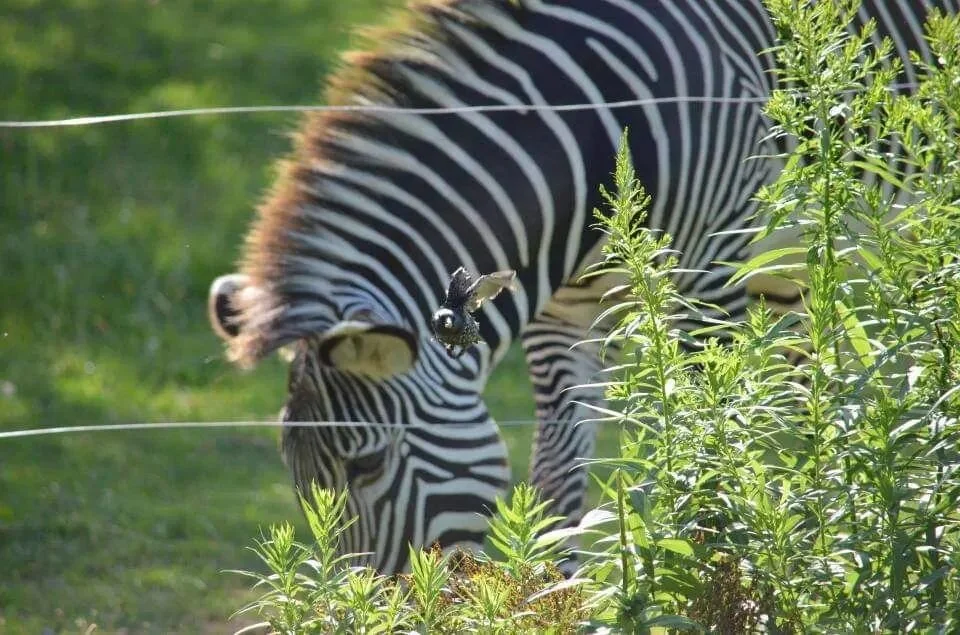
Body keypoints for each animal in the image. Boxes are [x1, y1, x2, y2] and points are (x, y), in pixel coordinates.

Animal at [207, 0, 958, 575]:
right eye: (297, 476)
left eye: (364, 465)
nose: (369, 608)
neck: (601, 138)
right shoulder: (562, 312)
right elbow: (558, 478)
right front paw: (557, 592)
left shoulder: (711, 273)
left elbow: (708, 433)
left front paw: (717, 573)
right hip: (788, 257)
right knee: (807, 387)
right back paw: (822, 523)